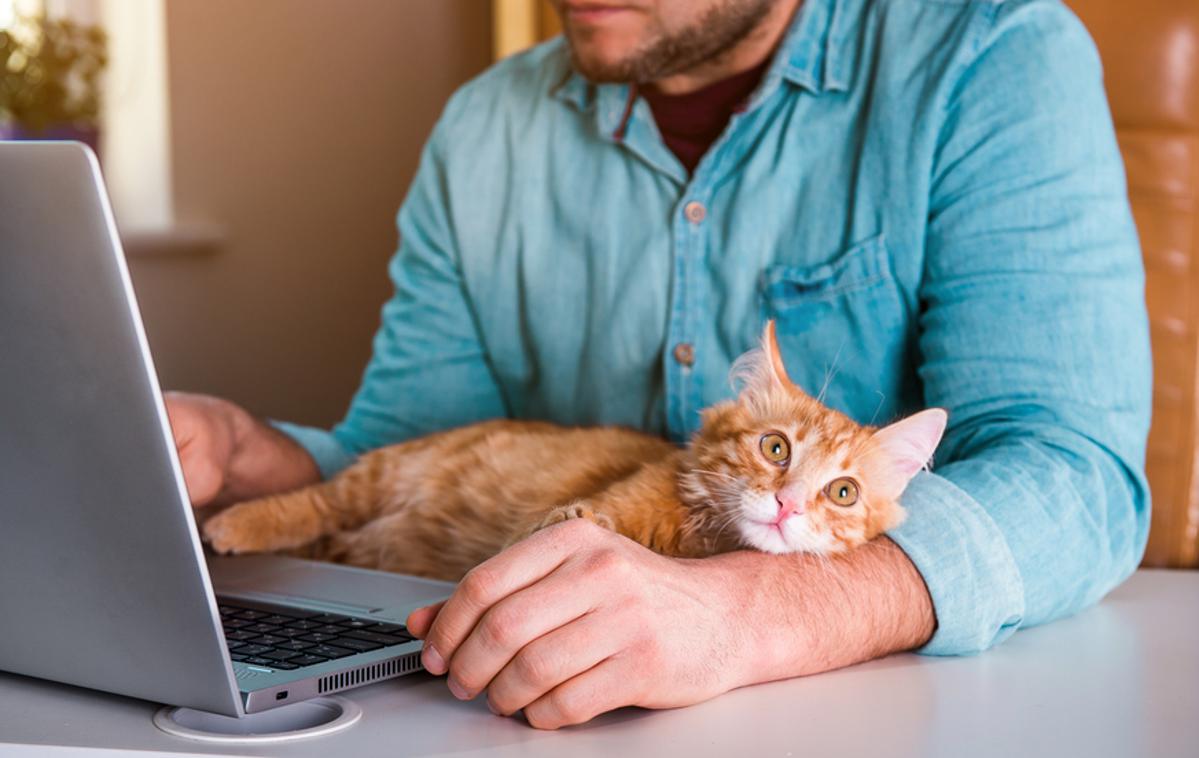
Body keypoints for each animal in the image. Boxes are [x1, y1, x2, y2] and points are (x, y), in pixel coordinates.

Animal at [203, 321, 944, 580]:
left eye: (841, 492)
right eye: (774, 448)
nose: (788, 505)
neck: (699, 535)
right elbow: (570, 521)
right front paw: (573, 523)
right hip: (382, 474)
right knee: (313, 501)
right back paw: (229, 524)